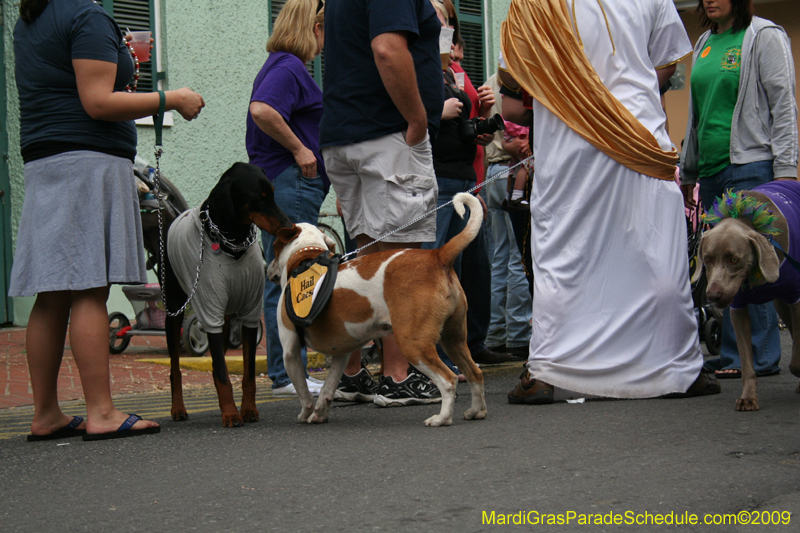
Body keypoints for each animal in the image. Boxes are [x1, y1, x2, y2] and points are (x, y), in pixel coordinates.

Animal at [164, 161, 292, 424]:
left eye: (273, 194)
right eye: (258, 198)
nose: (288, 226)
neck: (233, 243)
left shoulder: (250, 314)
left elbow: (248, 374)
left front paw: (248, 409)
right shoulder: (210, 313)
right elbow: (223, 374)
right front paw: (232, 414)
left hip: (223, 318)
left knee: (216, 363)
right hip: (175, 310)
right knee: (175, 368)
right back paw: (178, 408)